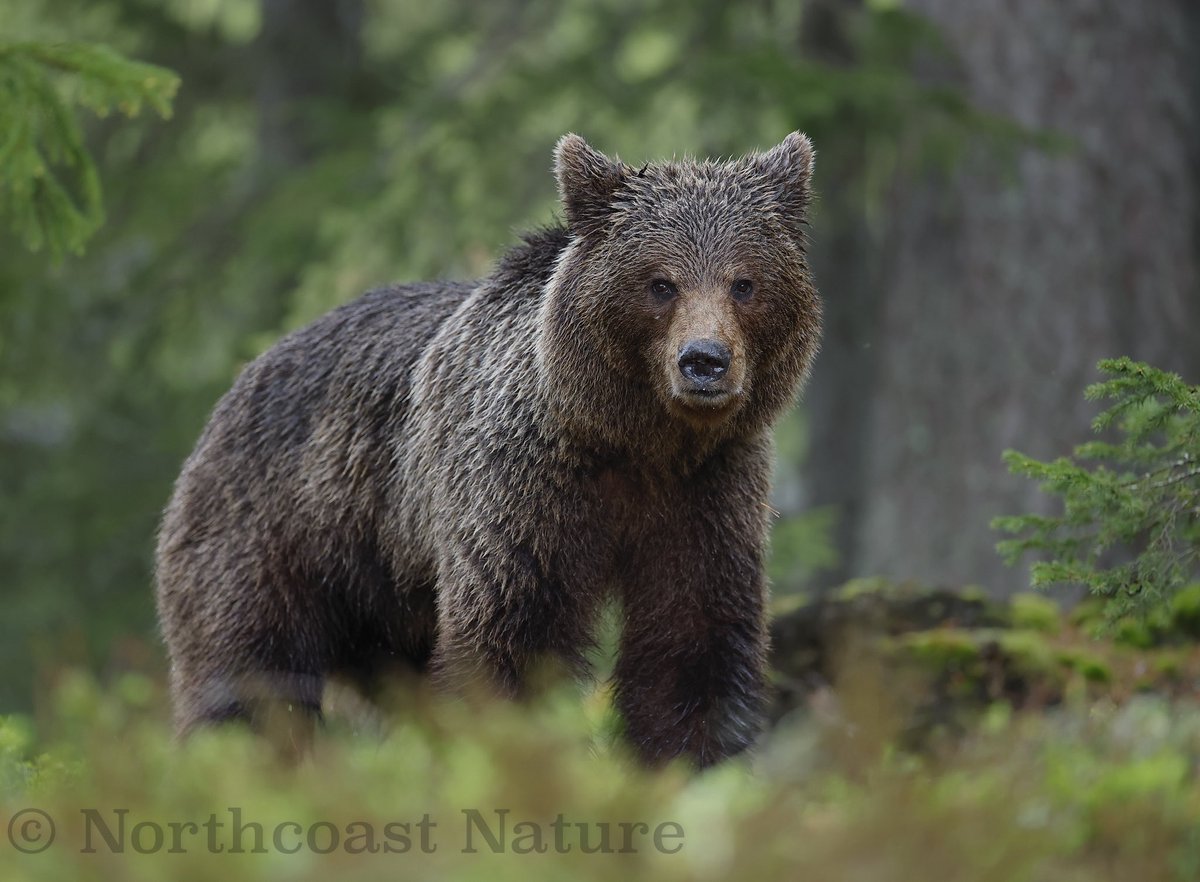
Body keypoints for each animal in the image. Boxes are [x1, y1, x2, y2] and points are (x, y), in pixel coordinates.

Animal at [155, 132, 821, 767]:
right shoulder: (521, 485)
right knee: (251, 678)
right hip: (279, 535)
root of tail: (244, 379)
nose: (704, 360)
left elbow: (691, 643)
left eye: (744, 283)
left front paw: (687, 765)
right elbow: (513, 635)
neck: (632, 438)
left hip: (383, 600)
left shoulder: (707, 493)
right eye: (660, 283)